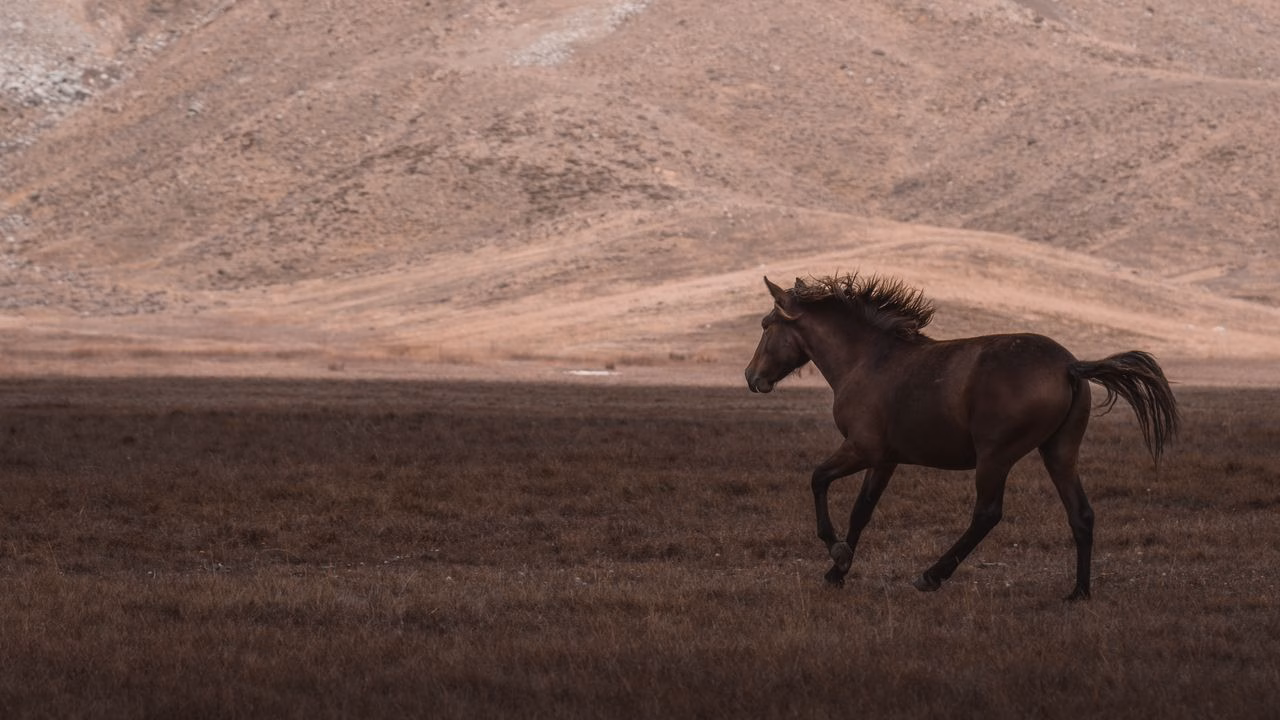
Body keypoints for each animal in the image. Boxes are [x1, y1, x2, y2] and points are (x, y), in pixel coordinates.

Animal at [743, 273, 1179, 600]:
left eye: (766, 326)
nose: (751, 377)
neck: (867, 361)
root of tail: (1069, 366)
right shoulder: (885, 459)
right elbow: (861, 511)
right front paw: (839, 570)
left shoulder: (861, 449)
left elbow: (818, 480)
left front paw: (836, 553)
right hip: (1059, 452)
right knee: (1081, 514)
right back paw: (1078, 592)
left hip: (995, 457)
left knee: (987, 514)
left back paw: (932, 576)